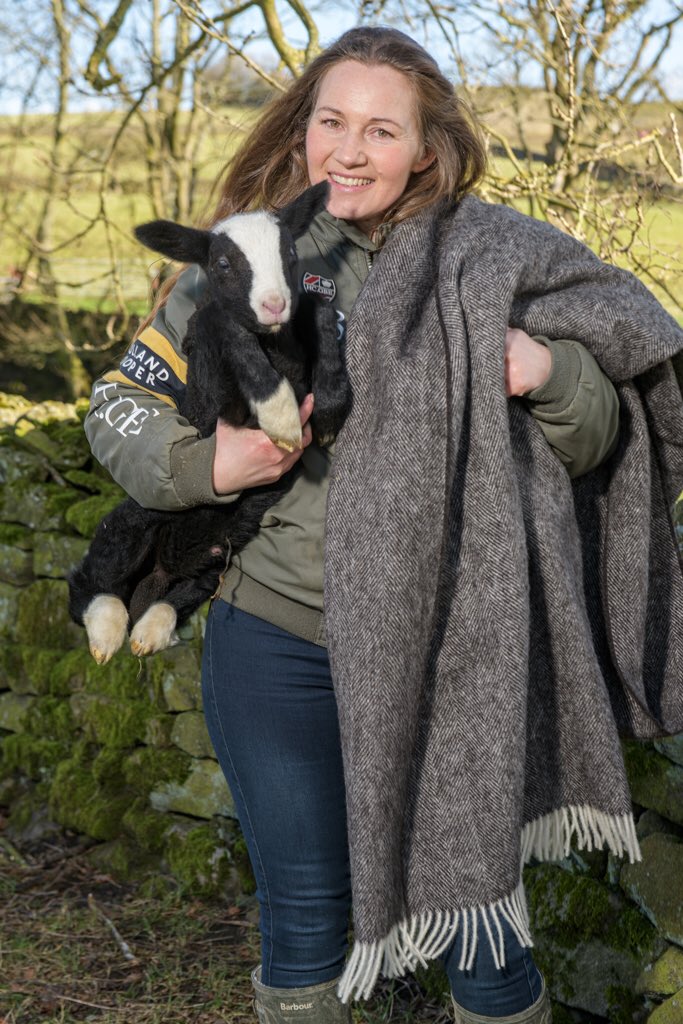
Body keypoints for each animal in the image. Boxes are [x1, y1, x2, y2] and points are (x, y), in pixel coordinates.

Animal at [68, 181, 350, 663]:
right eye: (222, 264)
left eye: (290, 252)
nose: (275, 304)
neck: (274, 342)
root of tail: (157, 574)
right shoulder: (211, 371)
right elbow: (225, 325)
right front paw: (281, 415)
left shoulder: (301, 317)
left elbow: (320, 309)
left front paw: (331, 408)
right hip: (137, 517)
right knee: (89, 579)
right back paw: (106, 632)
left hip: (213, 562)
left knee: (175, 596)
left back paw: (151, 631)